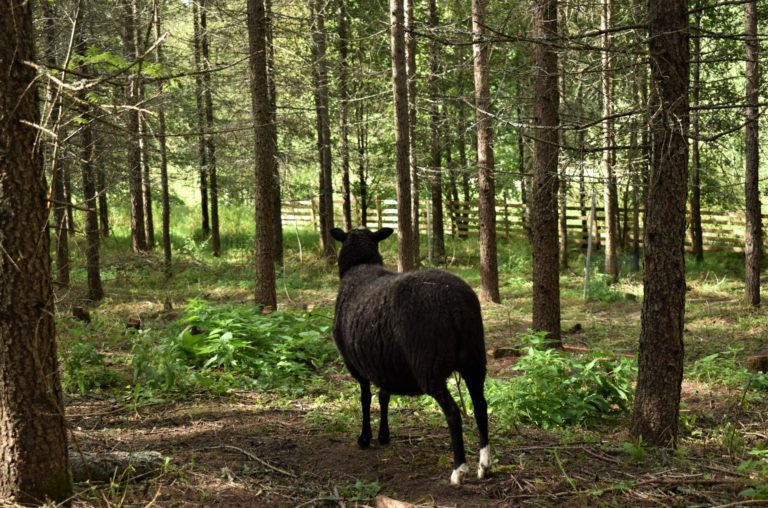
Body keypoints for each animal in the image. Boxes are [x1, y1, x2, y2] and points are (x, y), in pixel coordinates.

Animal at [328, 226, 486, 484]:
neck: (360, 266)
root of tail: (455, 302)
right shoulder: (383, 362)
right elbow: (383, 397)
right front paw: (383, 436)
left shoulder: (356, 365)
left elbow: (365, 398)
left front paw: (364, 438)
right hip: (474, 360)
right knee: (481, 406)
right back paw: (484, 466)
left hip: (429, 367)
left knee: (453, 414)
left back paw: (458, 470)